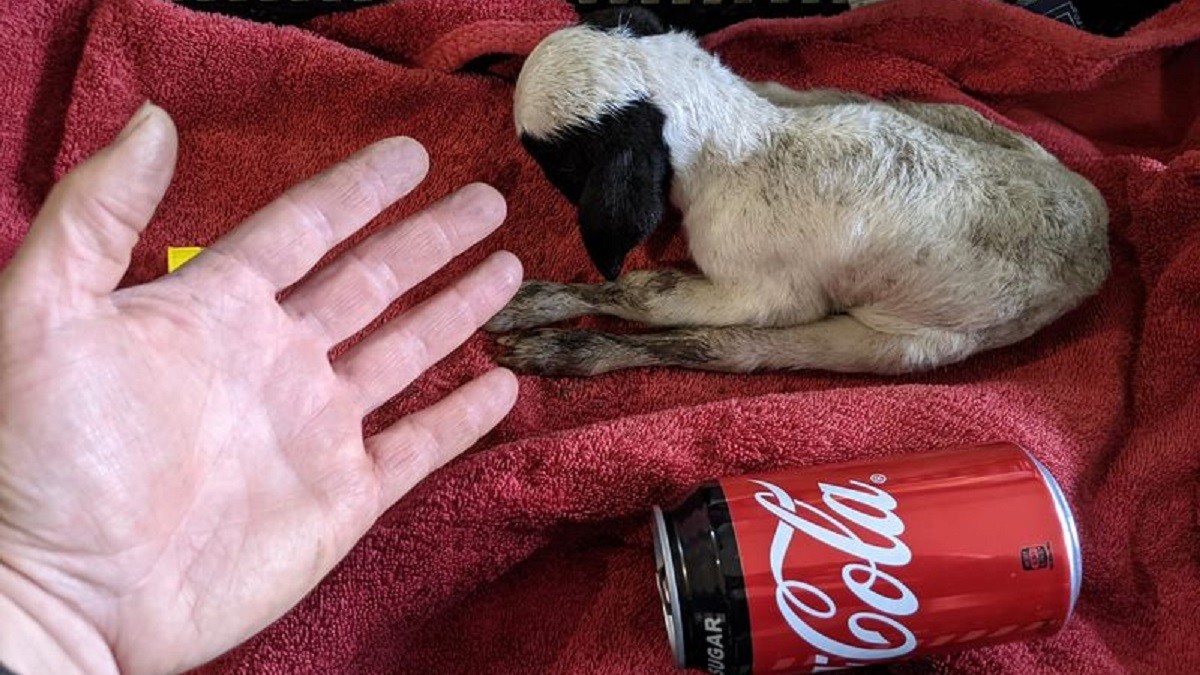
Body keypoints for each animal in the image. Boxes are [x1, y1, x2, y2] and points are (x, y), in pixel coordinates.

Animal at [482, 7, 1108, 379]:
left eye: (554, 163)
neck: (744, 141)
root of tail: (1098, 236)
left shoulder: (766, 294)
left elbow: (644, 291)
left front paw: (535, 310)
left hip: (901, 344)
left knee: (731, 350)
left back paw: (574, 352)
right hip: (964, 121)